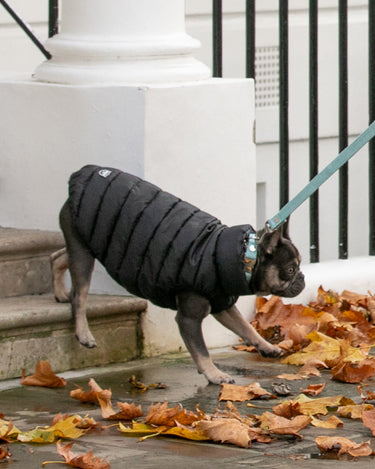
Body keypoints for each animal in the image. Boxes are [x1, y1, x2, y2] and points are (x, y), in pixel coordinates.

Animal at [50, 165, 306, 384]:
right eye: (291, 269)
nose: (302, 278)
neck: (245, 256)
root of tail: (81, 175)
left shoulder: (222, 304)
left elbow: (245, 327)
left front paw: (266, 346)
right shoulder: (189, 317)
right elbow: (201, 350)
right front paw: (215, 374)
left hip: (87, 246)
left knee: (57, 256)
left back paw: (60, 292)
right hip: (83, 252)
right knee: (79, 294)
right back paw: (83, 332)